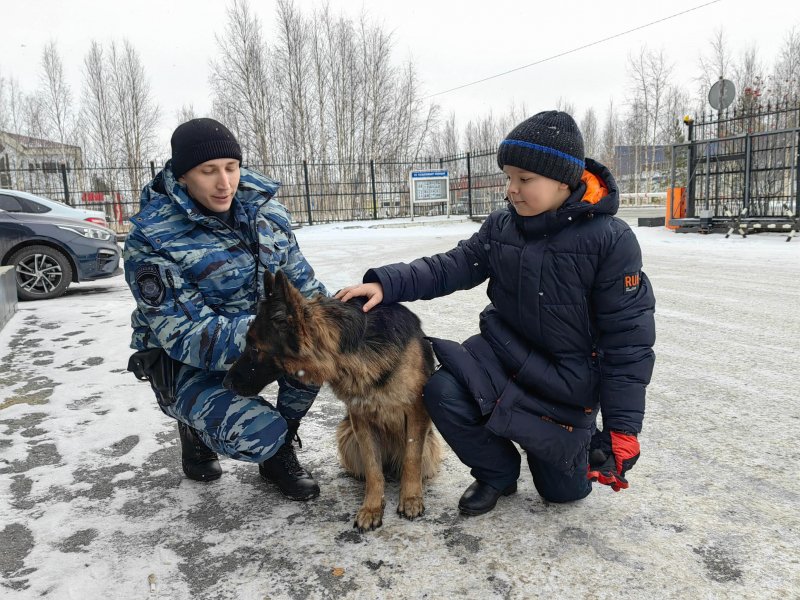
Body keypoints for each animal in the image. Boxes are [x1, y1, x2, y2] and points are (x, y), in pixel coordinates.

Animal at [222, 270, 440, 528]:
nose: (225, 383)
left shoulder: (416, 412)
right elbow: (373, 468)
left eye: (255, 349)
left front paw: (411, 498)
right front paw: (372, 507)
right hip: (347, 435)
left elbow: (411, 458)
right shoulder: (360, 418)